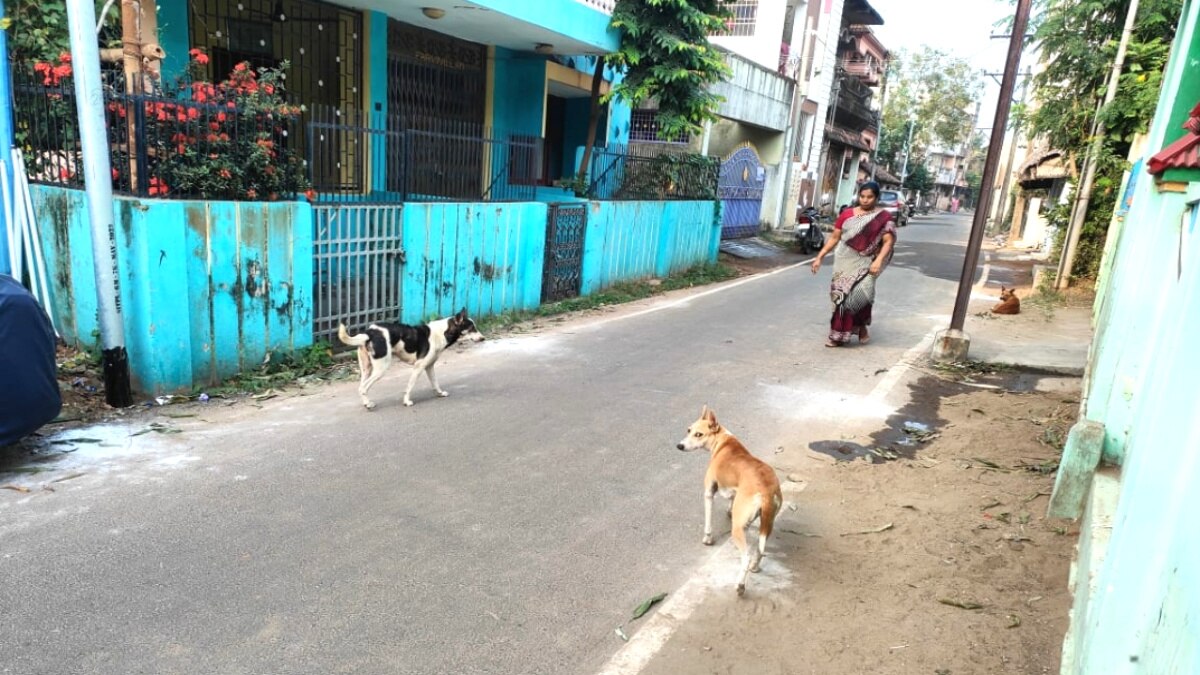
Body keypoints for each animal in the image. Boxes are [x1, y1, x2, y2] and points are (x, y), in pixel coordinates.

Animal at [336, 307, 484, 408]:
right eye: (472, 328)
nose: (483, 338)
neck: (442, 332)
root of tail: (370, 332)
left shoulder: (429, 366)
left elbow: (435, 383)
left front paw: (440, 393)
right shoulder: (418, 367)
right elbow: (410, 386)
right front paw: (406, 401)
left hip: (366, 369)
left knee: (361, 386)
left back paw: (366, 403)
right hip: (381, 369)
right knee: (363, 388)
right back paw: (369, 404)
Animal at [681, 403, 782, 593]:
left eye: (699, 434)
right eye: (688, 430)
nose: (679, 446)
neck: (723, 441)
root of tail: (765, 490)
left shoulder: (709, 492)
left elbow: (708, 522)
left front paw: (707, 539)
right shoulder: (733, 491)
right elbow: (731, 499)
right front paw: (729, 510)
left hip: (738, 530)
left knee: (746, 558)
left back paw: (740, 585)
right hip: (768, 524)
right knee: (760, 550)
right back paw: (755, 567)